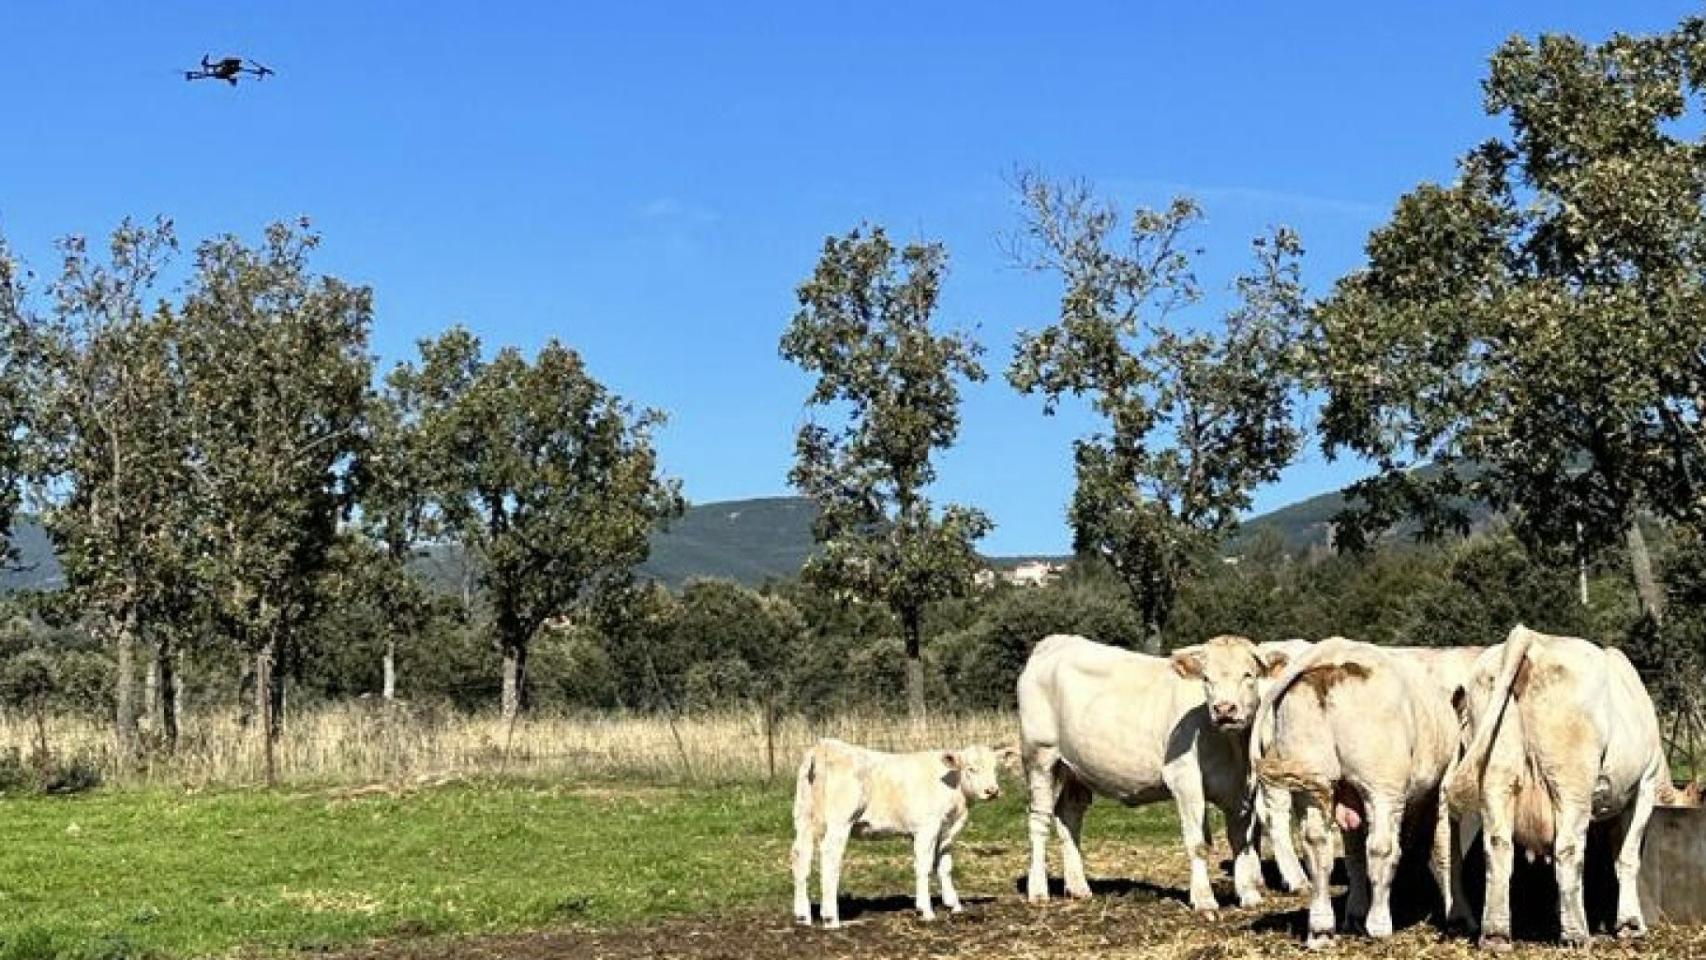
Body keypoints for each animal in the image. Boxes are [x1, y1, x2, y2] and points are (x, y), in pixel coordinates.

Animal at [788, 736, 1009, 934]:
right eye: (971, 768)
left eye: (995, 768)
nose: (992, 791)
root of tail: (823, 745)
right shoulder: (927, 828)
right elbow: (924, 866)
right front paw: (925, 910)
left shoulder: (946, 832)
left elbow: (944, 867)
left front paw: (954, 905)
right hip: (839, 821)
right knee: (830, 857)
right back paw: (831, 918)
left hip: (803, 817)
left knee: (800, 856)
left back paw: (802, 917)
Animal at [1016, 634, 1282, 913]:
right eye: (1206, 678)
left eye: (1248, 675)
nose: (1224, 709)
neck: (1231, 747)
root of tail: (1055, 641)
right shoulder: (1185, 780)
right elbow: (1198, 843)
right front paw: (1204, 899)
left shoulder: (1243, 788)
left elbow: (1242, 842)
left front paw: (1249, 895)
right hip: (1039, 755)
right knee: (1039, 820)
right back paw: (1038, 890)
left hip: (1076, 768)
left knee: (1068, 815)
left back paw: (1078, 888)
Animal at [1255, 637, 1467, 948]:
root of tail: (1332, 653)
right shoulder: (1441, 788)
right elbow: (1444, 850)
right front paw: (1459, 916)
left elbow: (1353, 854)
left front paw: (1354, 913)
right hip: (1382, 786)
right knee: (1381, 848)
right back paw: (1379, 924)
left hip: (1310, 778)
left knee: (1317, 844)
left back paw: (1321, 929)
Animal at [1439, 627, 1665, 948]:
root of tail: (1531, 638)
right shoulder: (1645, 784)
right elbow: (1627, 858)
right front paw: (1630, 924)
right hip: (1570, 780)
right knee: (1568, 849)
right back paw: (1577, 934)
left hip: (1497, 772)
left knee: (1498, 845)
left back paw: (1496, 934)